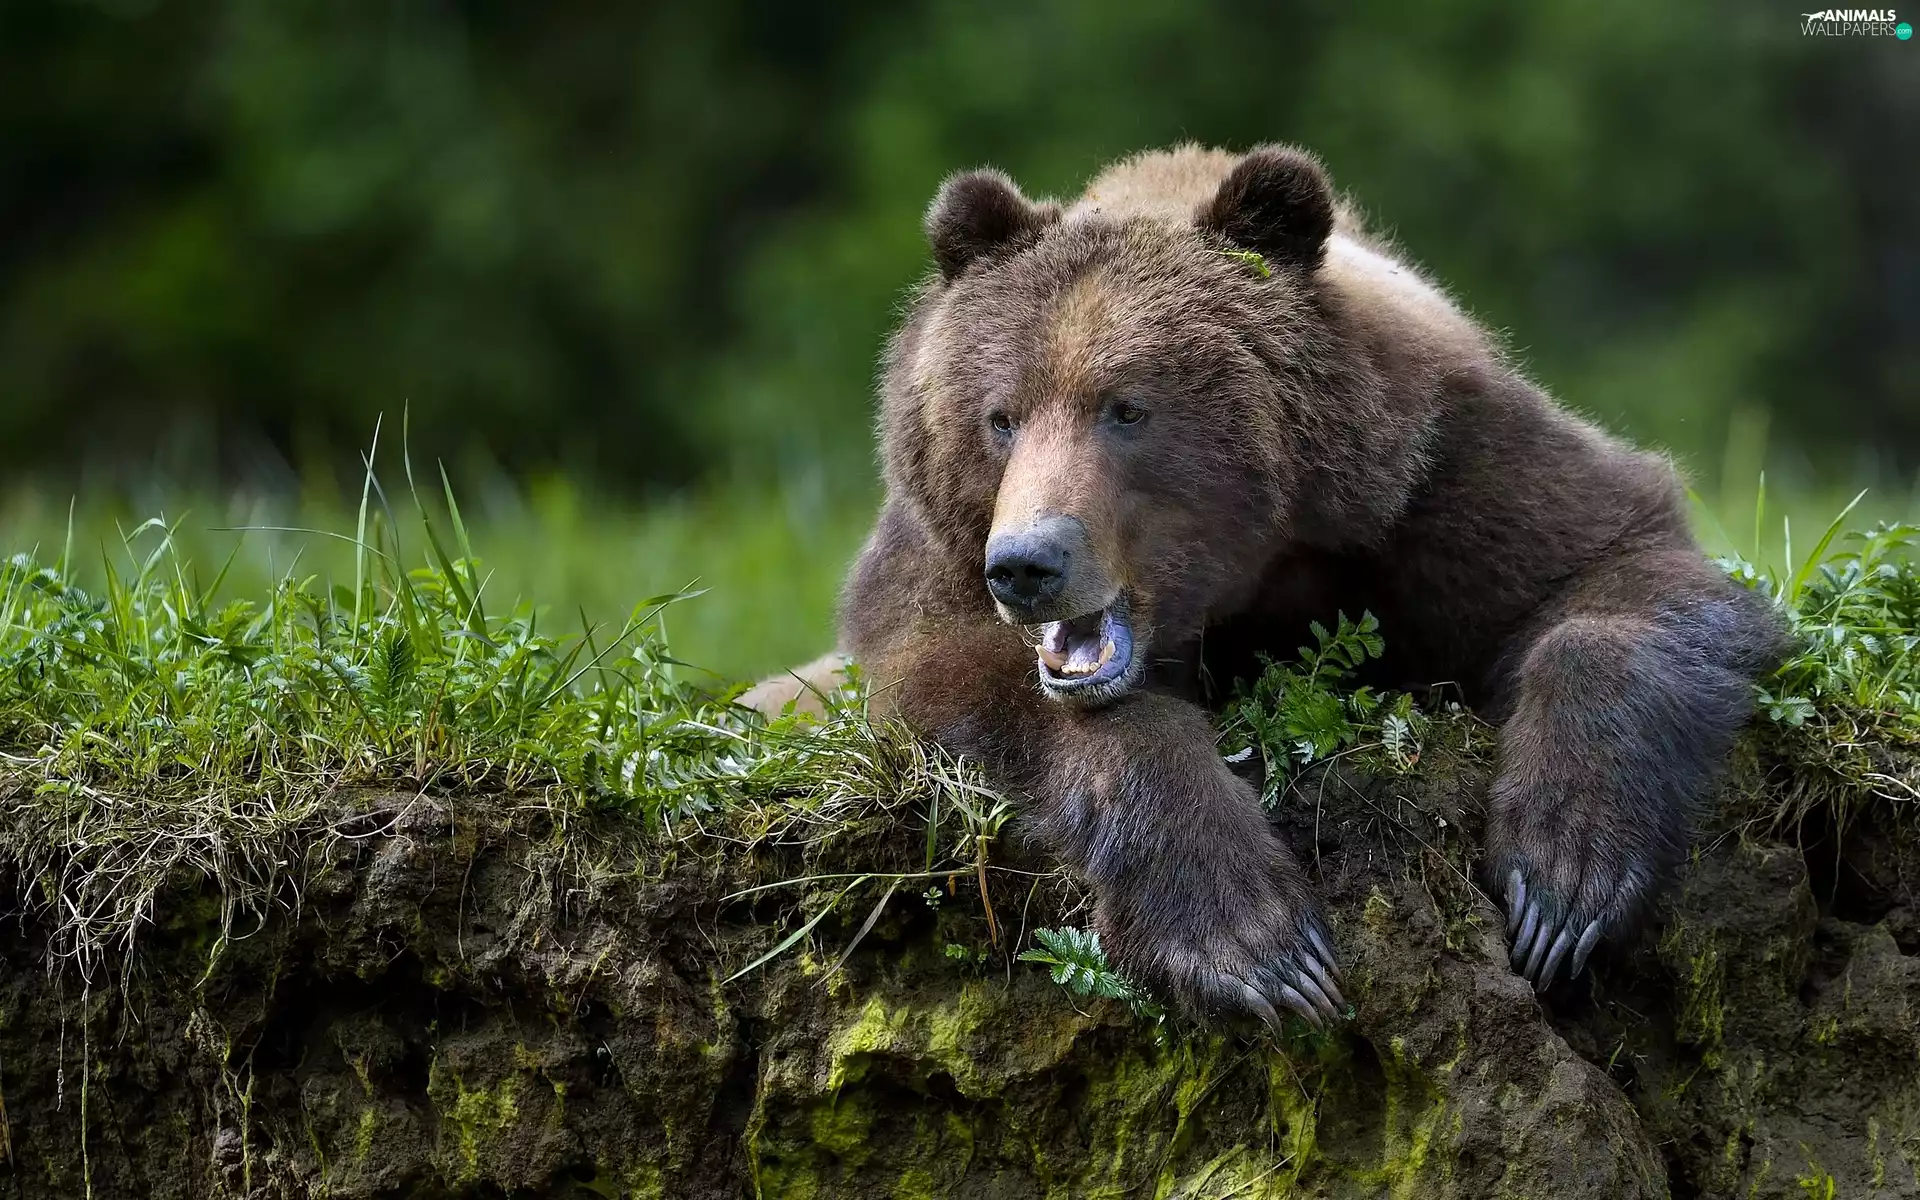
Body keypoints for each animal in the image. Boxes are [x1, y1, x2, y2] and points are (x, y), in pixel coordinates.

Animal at [751, 144, 1784, 1028]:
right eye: (1000, 416)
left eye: (1127, 408)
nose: (1026, 566)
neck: (1256, 569)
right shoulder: (934, 560)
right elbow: (965, 682)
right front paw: (1257, 944)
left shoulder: (1442, 475)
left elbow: (1614, 568)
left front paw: (1563, 880)